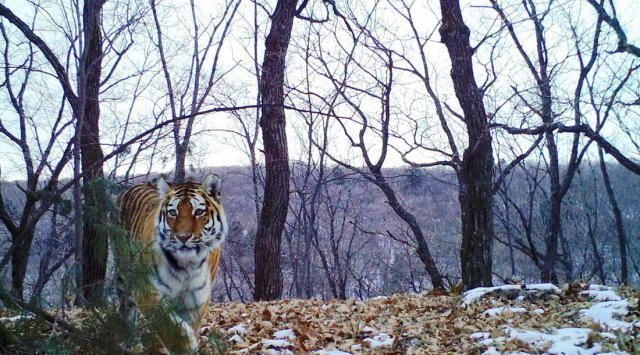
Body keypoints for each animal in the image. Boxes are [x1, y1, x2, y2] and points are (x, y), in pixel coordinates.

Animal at [119, 175, 229, 354]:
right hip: (126, 272)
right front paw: (185, 346)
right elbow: (169, 326)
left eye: (199, 212)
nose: (182, 237)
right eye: (173, 212)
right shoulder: (148, 290)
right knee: (126, 307)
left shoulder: (197, 298)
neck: (187, 266)